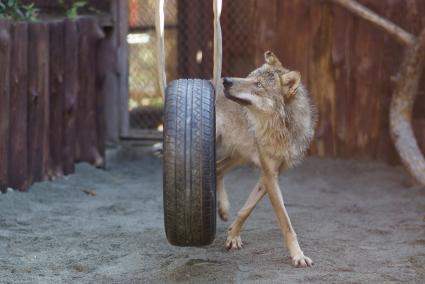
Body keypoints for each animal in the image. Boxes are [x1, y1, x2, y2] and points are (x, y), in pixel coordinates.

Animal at [215, 51, 314, 268]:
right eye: (248, 77)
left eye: (258, 84)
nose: (226, 80)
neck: (281, 130)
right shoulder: (269, 175)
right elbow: (286, 223)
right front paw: (298, 255)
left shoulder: (269, 175)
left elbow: (246, 209)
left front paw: (232, 235)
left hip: (240, 156)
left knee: (218, 169)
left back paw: (223, 209)